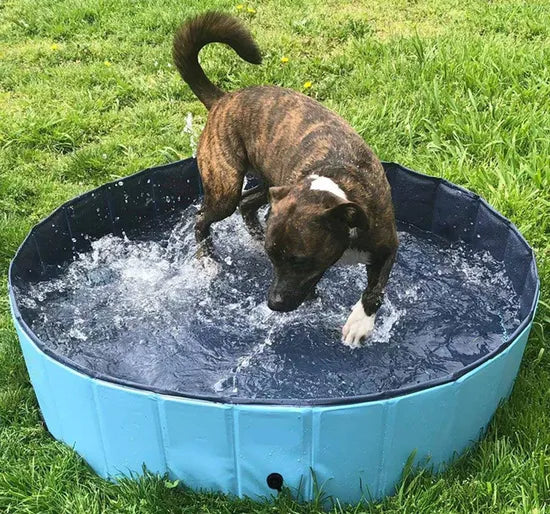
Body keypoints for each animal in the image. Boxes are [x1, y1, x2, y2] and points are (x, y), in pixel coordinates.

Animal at [175, 12, 398, 346]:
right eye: (273, 258)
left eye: (300, 260)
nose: (273, 303)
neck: (337, 190)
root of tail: (224, 98)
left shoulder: (386, 245)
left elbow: (375, 290)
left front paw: (360, 323)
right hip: (225, 184)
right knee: (203, 217)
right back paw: (207, 259)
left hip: (270, 183)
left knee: (245, 204)